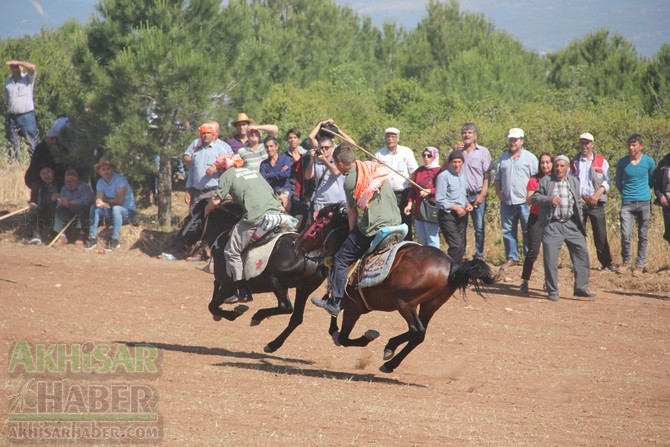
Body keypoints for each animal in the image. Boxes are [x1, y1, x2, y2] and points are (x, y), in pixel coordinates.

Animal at [296, 207, 496, 374]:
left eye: (316, 224)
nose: (296, 243)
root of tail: (453, 265)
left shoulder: (354, 308)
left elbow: (344, 337)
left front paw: (368, 336)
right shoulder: (346, 303)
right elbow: (334, 323)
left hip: (404, 303)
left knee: (417, 330)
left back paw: (389, 356)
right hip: (430, 305)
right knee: (419, 333)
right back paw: (390, 354)